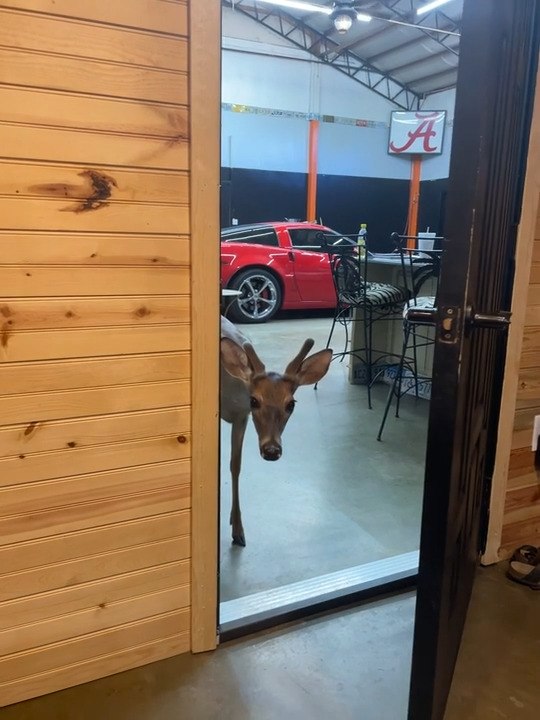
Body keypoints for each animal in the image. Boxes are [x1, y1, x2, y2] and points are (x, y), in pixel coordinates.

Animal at [220, 315, 332, 547]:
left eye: (291, 404)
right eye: (254, 401)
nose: (272, 450)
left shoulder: (241, 417)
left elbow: (236, 466)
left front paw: (238, 528)